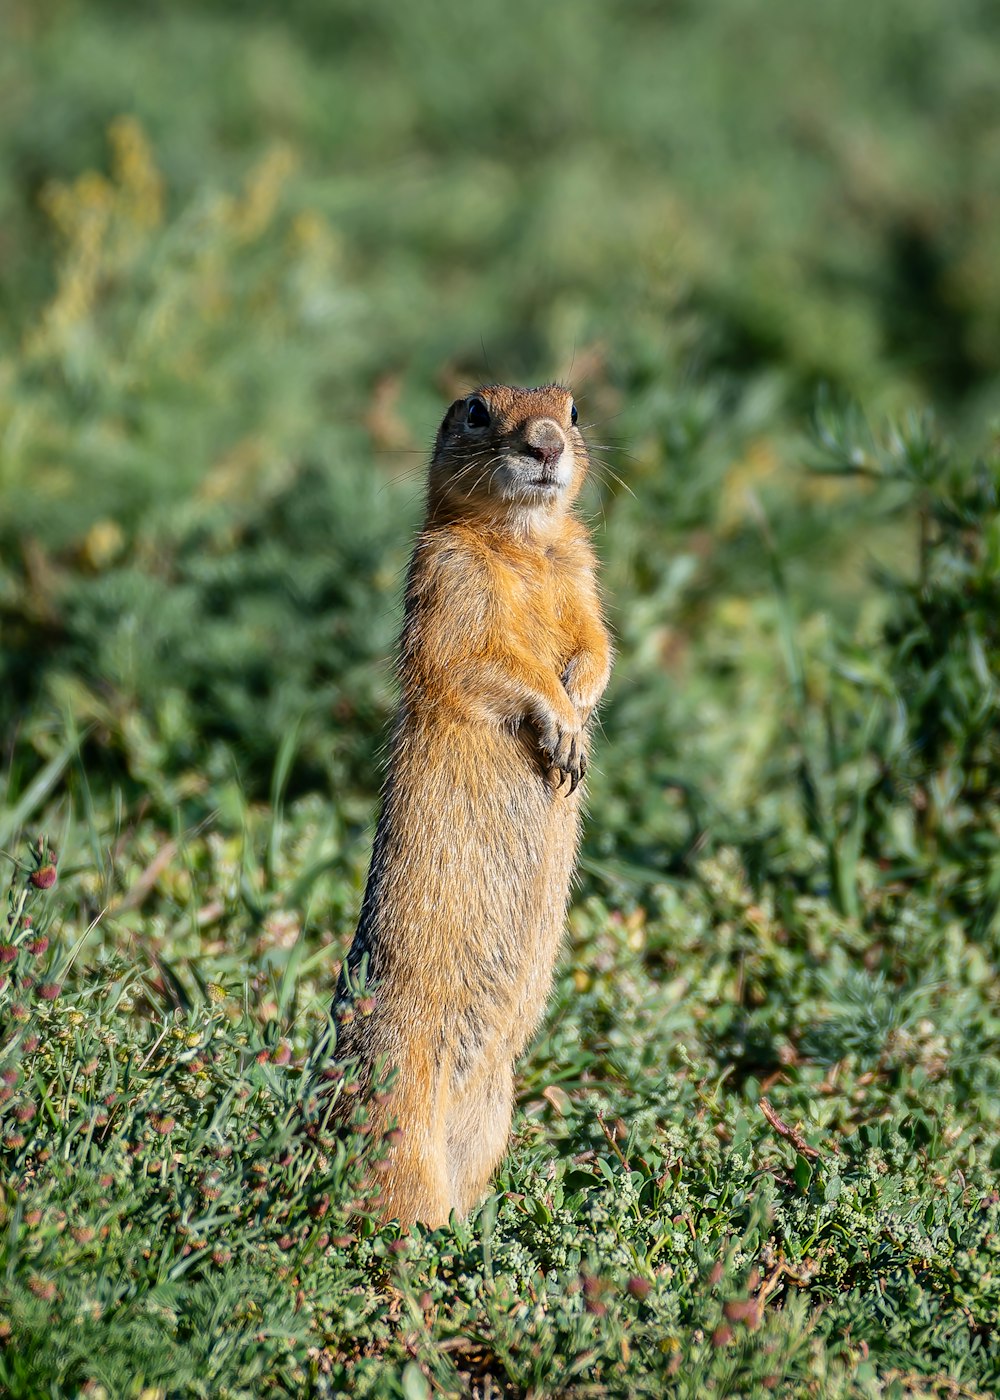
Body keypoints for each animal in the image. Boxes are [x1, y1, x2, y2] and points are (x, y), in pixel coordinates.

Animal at [334, 380, 610, 1226]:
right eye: (475, 410)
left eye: (574, 409)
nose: (546, 442)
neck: (523, 542)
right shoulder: (449, 582)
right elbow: (489, 662)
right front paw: (560, 727)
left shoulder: (583, 574)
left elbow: (596, 644)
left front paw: (580, 712)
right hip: (399, 1101)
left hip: (494, 1109)